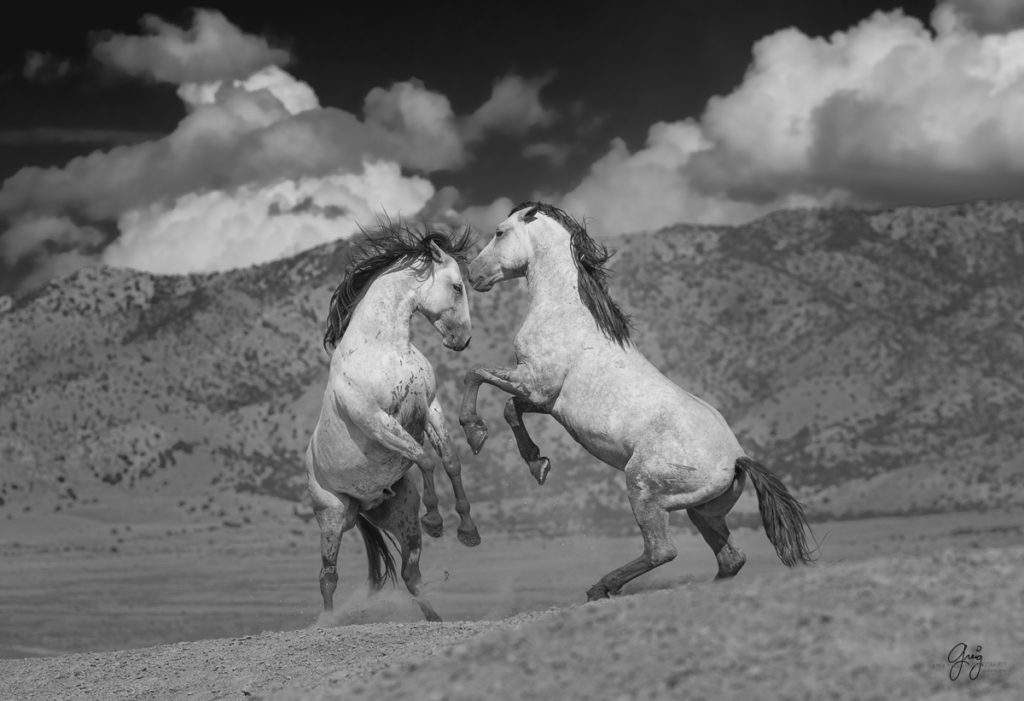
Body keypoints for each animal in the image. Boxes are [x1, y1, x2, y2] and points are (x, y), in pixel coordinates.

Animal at [305, 221, 477, 622]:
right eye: (457, 286)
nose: (464, 340)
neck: (384, 350)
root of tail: (362, 506)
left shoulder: (430, 406)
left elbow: (450, 461)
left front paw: (467, 530)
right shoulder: (376, 421)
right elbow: (425, 458)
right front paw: (436, 520)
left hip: (398, 515)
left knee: (410, 573)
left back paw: (435, 619)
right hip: (332, 517)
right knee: (327, 577)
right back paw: (328, 623)